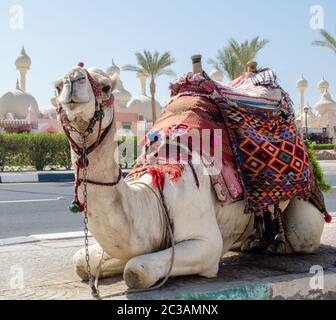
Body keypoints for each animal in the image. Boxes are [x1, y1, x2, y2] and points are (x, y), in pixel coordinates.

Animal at [55, 59, 326, 290]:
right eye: (56, 86)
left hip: (304, 207)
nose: (71, 79)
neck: (154, 194)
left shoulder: (206, 243)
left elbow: (136, 270)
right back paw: (254, 242)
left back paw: (278, 245)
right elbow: (82, 262)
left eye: (106, 86)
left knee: (304, 235)